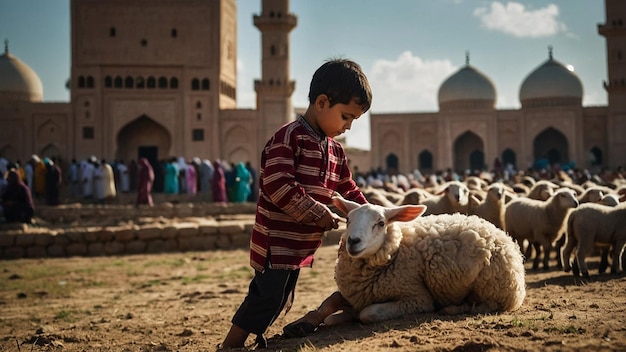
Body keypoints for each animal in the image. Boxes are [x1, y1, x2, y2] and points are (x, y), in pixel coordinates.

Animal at [326, 197, 528, 324]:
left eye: (381, 223)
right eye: (348, 220)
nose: (353, 241)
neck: (396, 250)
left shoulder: (416, 297)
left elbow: (368, 313)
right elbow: (332, 315)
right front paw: (335, 317)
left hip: (494, 287)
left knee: (486, 306)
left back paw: (452, 309)